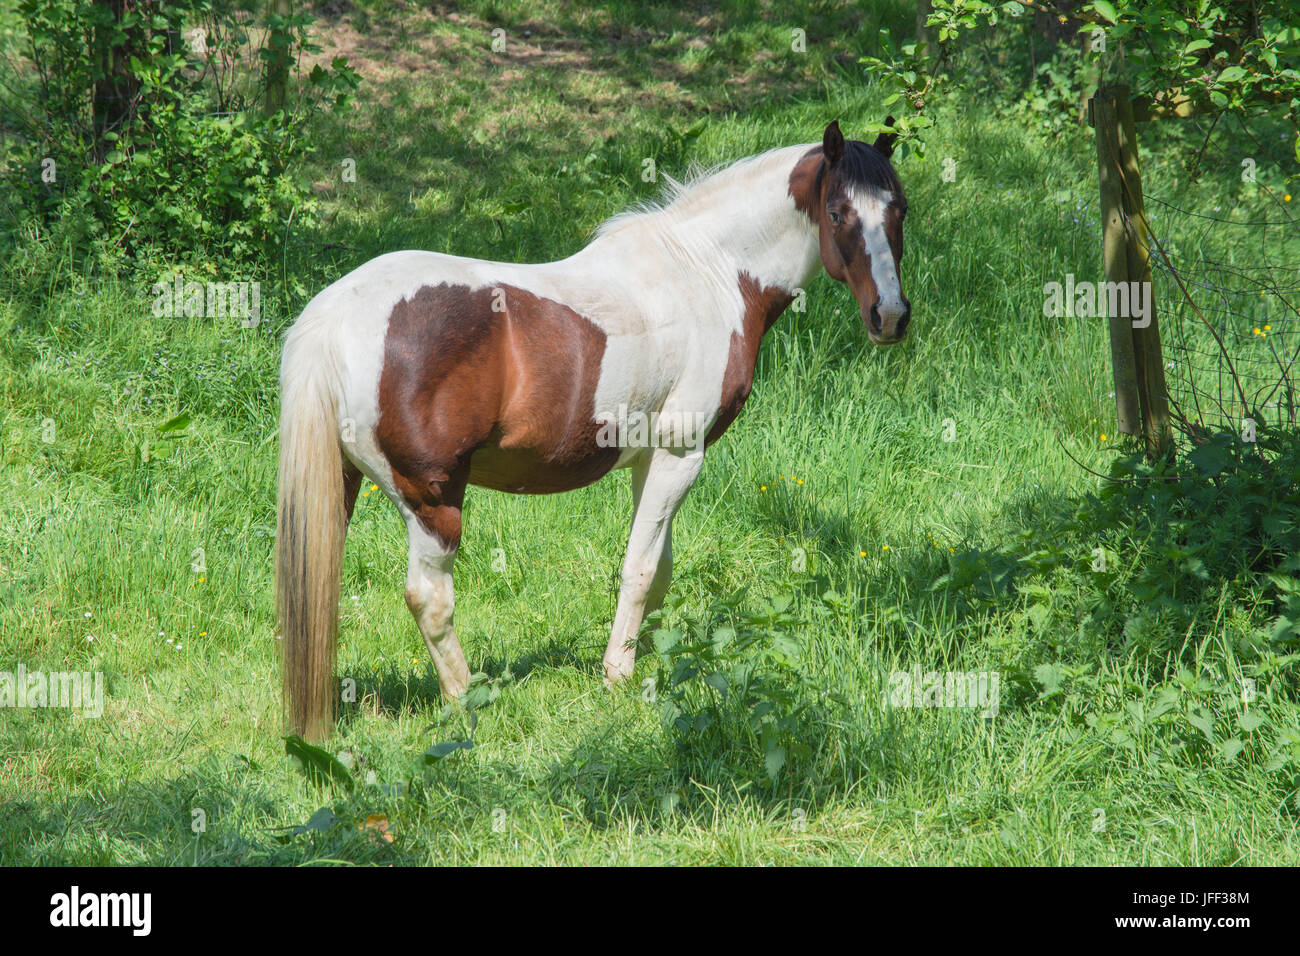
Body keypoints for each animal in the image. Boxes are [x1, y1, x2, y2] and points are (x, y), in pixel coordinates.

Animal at [277, 120, 911, 740]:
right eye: (837, 213)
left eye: (898, 209)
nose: (891, 317)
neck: (707, 271)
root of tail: (334, 317)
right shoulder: (682, 456)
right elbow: (639, 570)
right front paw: (619, 675)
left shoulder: (649, 460)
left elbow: (659, 568)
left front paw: (654, 654)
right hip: (433, 500)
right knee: (429, 598)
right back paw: (467, 700)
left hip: (343, 485)